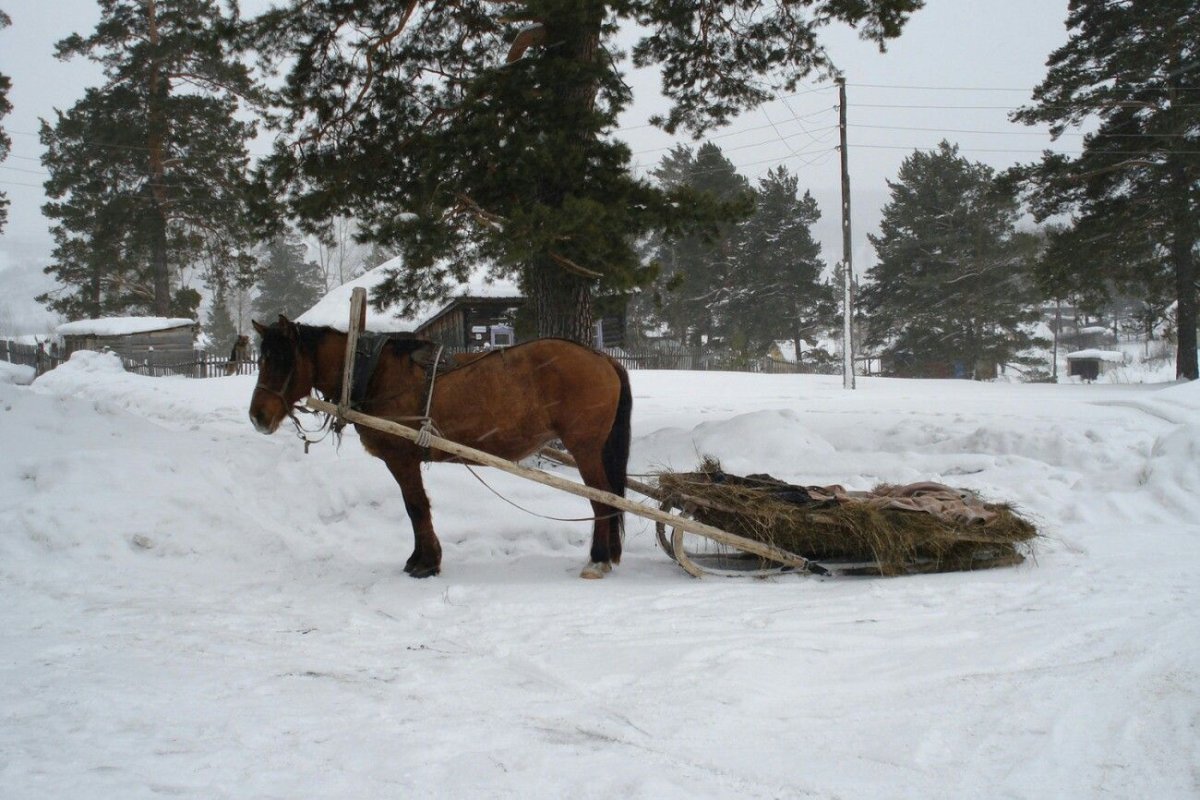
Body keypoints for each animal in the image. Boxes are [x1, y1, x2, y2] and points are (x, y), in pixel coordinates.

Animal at [248, 315, 632, 579]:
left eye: (282, 360)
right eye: (261, 359)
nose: (257, 417)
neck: (373, 373)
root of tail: (603, 358)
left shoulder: (401, 458)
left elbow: (416, 507)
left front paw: (426, 563)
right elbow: (416, 507)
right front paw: (420, 558)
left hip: (585, 447)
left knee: (602, 499)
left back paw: (598, 559)